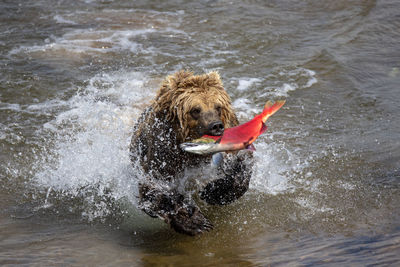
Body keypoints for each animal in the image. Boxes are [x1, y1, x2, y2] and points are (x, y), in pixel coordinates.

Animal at [130, 71, 252, 237]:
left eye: (218, 107)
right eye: (195, 110)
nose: (216, 126)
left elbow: (241, 167)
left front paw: (211, 191)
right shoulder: (161, 156)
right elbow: (154, 190)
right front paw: (197, 222)